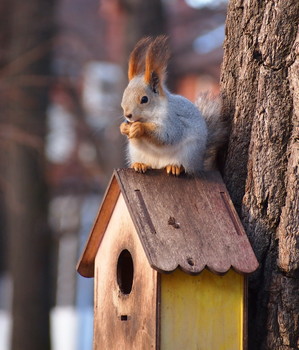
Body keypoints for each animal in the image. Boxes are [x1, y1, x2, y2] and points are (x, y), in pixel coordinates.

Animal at [119, 35, 227, 175]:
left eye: (144, 99)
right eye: (124, 94)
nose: (128, 115)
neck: (147, 117)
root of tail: (198, 162)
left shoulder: (172, 121)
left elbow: (166, 136)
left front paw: (139, 128)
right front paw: (123, 128)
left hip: (188, 153)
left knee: (184, 167)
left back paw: (175, 167)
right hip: (138, 153)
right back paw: (140, 164)